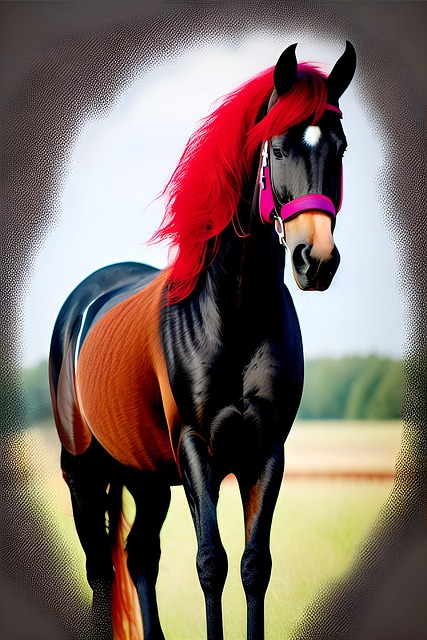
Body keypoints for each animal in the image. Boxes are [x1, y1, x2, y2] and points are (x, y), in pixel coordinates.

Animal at [49, 41, 356, 640]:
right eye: (278, 147)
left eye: (341, 146)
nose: (317, 260)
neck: (232, 316)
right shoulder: (197, 448)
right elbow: (210, 563)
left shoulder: (266, 450)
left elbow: (254, 566)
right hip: (83, 475)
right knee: (101, 569)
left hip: (145, 478)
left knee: (139, 557)